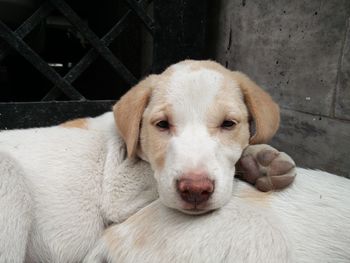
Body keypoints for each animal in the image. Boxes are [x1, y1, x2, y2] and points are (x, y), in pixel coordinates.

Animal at [0, 60, 298, 263]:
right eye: (162, 125)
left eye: (228, 124)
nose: (195, 191)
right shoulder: (119, 190)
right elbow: (157, 178)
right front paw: (255, 161)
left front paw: (261, 161)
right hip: (9, 175)